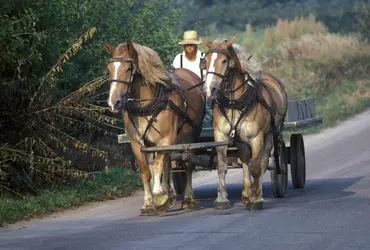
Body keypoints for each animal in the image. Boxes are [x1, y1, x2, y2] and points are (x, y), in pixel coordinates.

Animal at [104, 40, 205, 214]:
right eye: (109, 68)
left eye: (129, 68)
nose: (113, 102)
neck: (147, 104)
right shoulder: (137, 143)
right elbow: (146, 171)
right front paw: (148, 203)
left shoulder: (166, 140)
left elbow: (157, 165)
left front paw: (159, 196)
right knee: (169, 162)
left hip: (190, 136)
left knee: (187, 163)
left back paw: (187, 198)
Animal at [199, 35, 290, 210]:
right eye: (206, 60)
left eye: (224, 61)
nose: (209, 89)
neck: (235, 103)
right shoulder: (221, 136)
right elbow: (222, 166)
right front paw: (221, 199)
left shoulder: (257, 137)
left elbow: (256, 167)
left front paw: (256, 199)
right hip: (241, 141)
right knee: (245, 161)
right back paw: (247, 193)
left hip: (270, 135)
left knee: (261, 163)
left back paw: (256, 193)